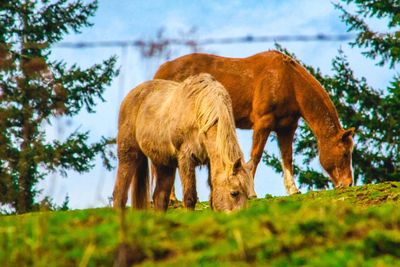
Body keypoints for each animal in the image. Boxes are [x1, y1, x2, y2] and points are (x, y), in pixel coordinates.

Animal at [112, 73, 256, 211]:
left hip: (164, 164)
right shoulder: (185, 158)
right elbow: (190, 197)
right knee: (119, 195)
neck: (198, 111)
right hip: (129, 156)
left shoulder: (210, 161)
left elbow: (212, 198)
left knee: (160, 197)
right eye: (234, 193)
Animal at [155, 50, 354, 197]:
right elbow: (255, 156)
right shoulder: (263, 123)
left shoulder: (286, 127)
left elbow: (287, 157)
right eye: (345, 154)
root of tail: (161, 71)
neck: (288, 81)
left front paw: (293, 189)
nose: (348, 183)